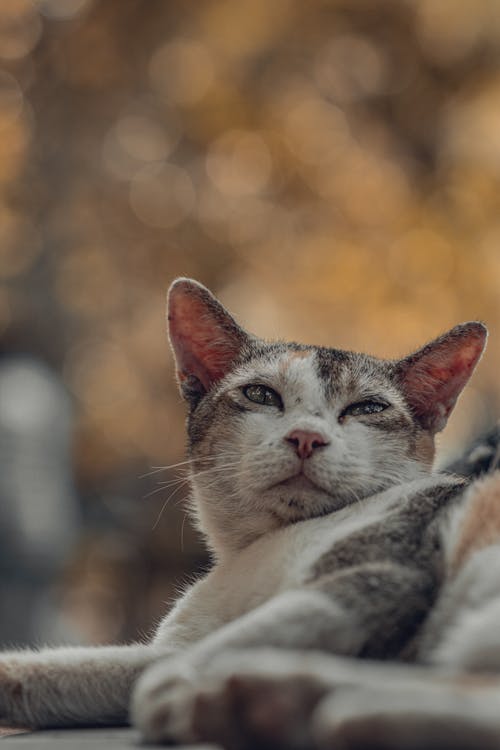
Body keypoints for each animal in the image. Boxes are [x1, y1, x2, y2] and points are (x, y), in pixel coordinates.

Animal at [0, 278, 498, 750]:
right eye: (261, 394)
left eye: (367, 408)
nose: (306, 437)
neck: (262, 544)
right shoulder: (177, 640)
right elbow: (75, 667)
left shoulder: (386, 574)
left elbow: (231, 640)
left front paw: (175, 683)